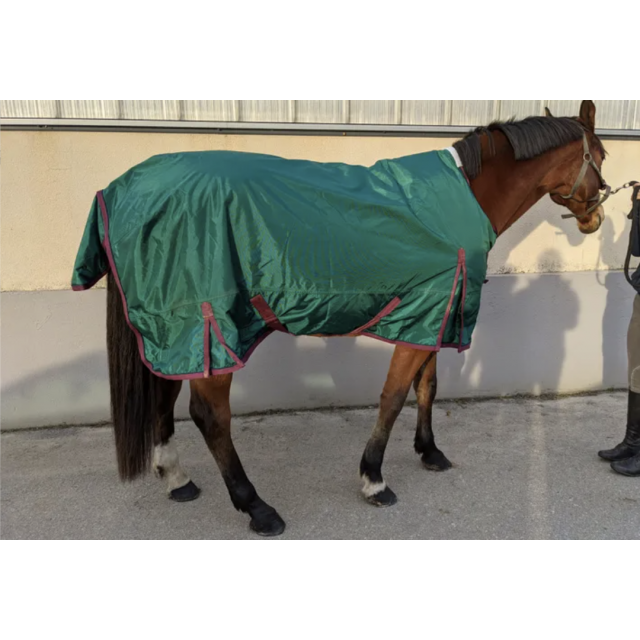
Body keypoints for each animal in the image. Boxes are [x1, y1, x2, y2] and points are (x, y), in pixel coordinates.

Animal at [78, 100, 608, 536]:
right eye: (600, 156)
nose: (596, 218)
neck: (464, 198)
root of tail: (121, 189)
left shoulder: (436, 312)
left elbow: (427, 387)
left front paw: (430, 452)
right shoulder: (422, 318)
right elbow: (393, 397)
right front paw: (374, 479)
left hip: (173, 333)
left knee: (163, 392)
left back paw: (177, 478)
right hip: (210, 328)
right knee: (210, 417)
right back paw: (258, 509)